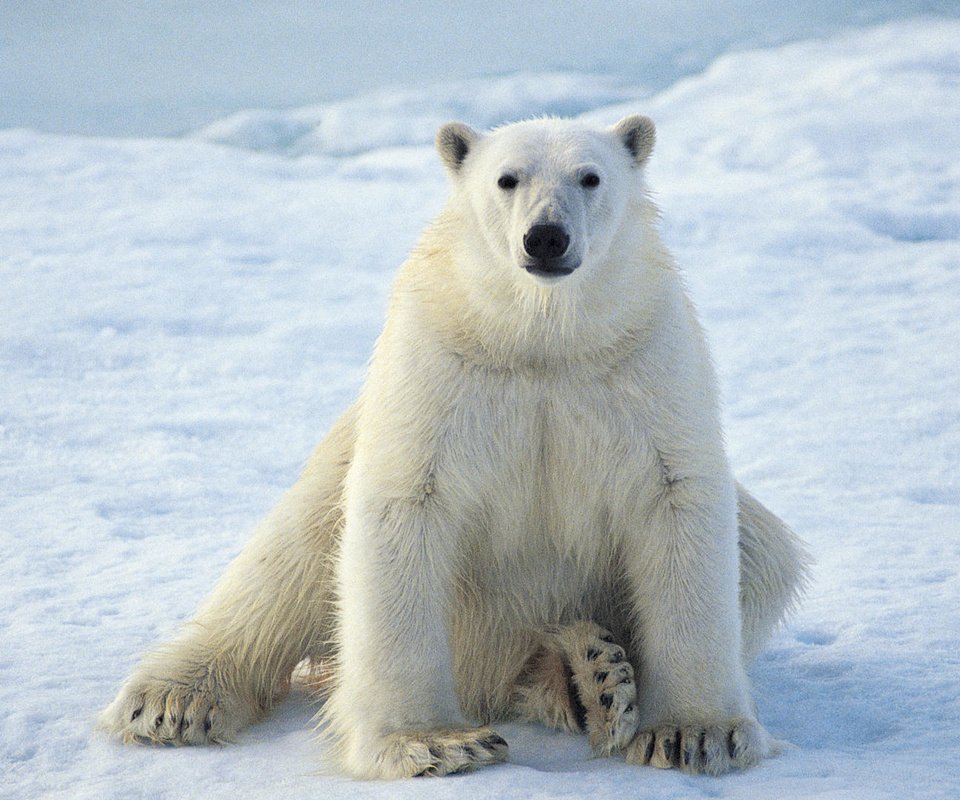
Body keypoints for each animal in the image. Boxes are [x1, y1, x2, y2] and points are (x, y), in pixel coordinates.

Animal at [101, 115, 808, 780]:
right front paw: (435, 743)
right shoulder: (440, 366)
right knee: (285, 563)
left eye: (590, 177)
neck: (541, 338)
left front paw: (696, 734)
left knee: (764, 552)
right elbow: (404, 506)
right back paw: (172, 700)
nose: (545, 237)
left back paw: (589, 677)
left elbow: (677, 502)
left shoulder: (644, 362)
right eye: (507, 179)